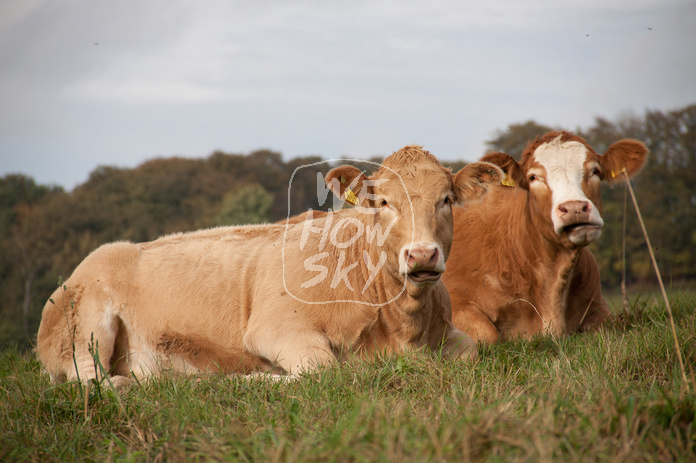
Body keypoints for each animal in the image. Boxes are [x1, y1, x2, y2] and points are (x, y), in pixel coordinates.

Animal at [38, 147, 502, 386]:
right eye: (384, 202)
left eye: (446, 199)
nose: (421, 255)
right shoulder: (275, 326)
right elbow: (321, 369)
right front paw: (252, 379)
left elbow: (473, 352)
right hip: (85, 327)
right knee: (90, 378)